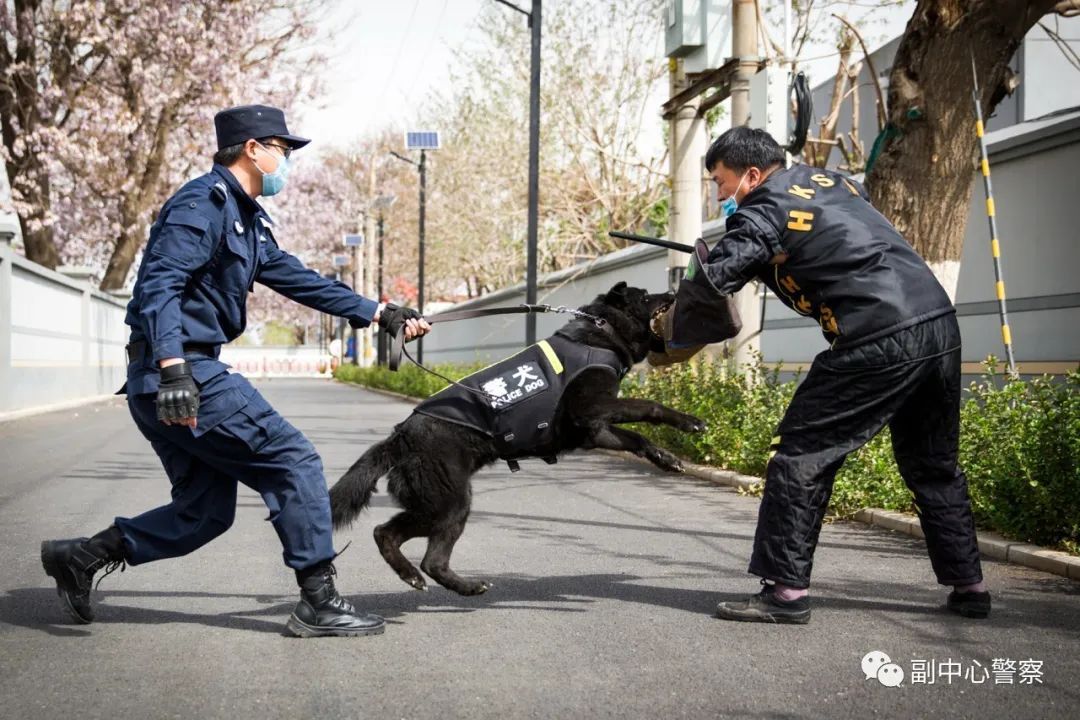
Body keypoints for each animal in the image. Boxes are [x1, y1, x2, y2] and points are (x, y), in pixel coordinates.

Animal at [39, 104, 432, 639]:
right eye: (282, 146)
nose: (288, 156)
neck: (234, 195)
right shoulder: (195, 213)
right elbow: (169, 276)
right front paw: (324, 606)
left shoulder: (273, 254)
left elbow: (294, 272)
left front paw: (391, 315)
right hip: (215, 412)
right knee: (279, 464)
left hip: (186, 446)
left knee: (199, 513)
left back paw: (71, 563)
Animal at [328, 280, 704, 595]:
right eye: (646, 296)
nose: (674, 289)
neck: (602, 330)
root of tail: (402, 434)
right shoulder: (592, 409)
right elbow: (650, 406)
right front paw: (690, 422)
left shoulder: (594, 429)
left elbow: (637, 439)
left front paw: (666, 458)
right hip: (449, 502)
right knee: (398, 540)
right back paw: (426, 578)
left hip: (438, 504)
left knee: (416, 551)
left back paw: (449, 584)